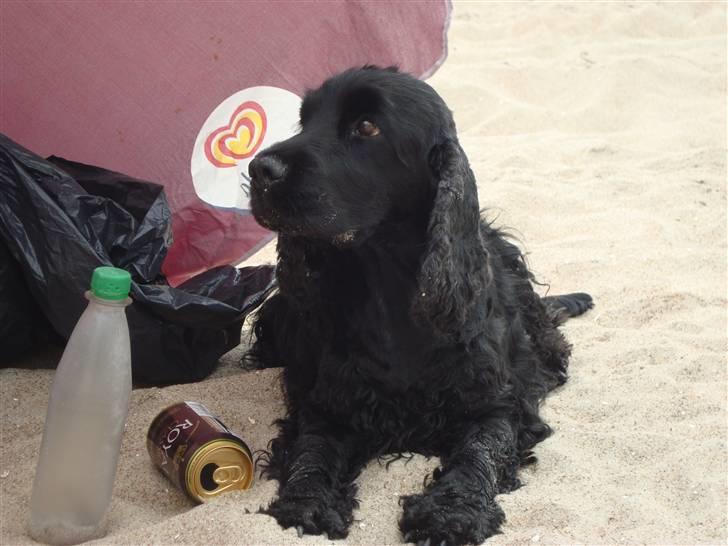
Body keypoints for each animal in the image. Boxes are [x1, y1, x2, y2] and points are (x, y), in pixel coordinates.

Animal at [247, 66, 588, 540]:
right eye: (304, 120)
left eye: (366, 127)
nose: (259, 169)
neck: (388, 289)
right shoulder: (327, 405)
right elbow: (311, 452)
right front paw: (307, 502)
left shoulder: (496, 405)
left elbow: (479, 455)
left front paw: (452, 511)